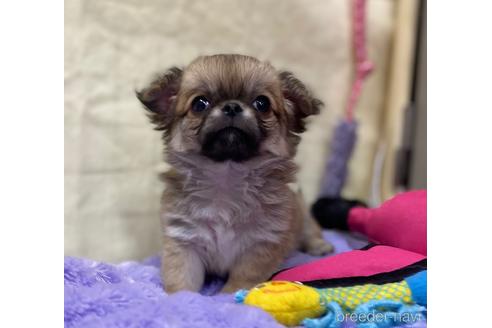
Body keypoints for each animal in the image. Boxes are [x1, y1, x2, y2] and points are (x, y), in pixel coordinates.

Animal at [136, 55, 332, 294]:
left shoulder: (261, 246)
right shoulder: (184, 242)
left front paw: (230, 296)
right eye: (199, 104)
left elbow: (242, 280)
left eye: (262, 103)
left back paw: (320, 246)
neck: (227, 178)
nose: (231, 106)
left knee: (311, 231)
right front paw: (181, 298)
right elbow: (181, 278)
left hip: (302, 218)